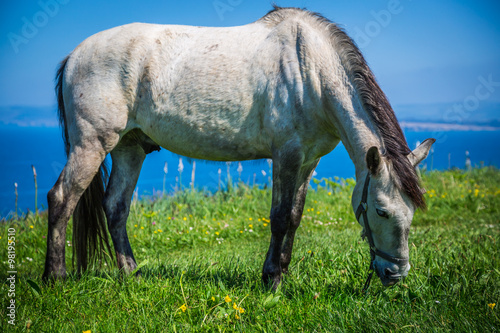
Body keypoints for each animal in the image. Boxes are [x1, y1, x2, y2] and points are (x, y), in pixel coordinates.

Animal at [43, 7, 434, 288]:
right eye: (381, 210)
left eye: (412, 213)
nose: (395, 275)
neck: (311, 71)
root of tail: (74, 56)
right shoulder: (287, 155)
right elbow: (279, 218)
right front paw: (272, 281)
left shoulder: (308, 161)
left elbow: (295, 217)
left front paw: (282, 272)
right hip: (91, 145)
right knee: (61, 199)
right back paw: (55, 278)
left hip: (129, 147)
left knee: (116, 207)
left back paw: (131, 273)